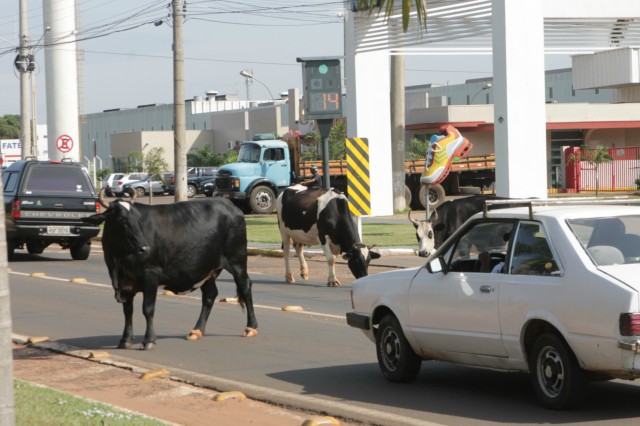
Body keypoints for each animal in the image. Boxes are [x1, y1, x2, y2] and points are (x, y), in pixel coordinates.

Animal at [83, 190, 258, 350]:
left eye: (138, 220)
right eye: (121, 220)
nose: (144, 248)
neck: (118, 262)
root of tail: (228, 204)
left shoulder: (151, 275)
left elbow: (148, 309)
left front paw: (149, 340)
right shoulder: (125, 283)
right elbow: (128, 311)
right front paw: (125, 340)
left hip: (237, 261)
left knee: (245, 286)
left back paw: (251, 328)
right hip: (206, 269)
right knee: (210, 295)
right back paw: (197, 330)